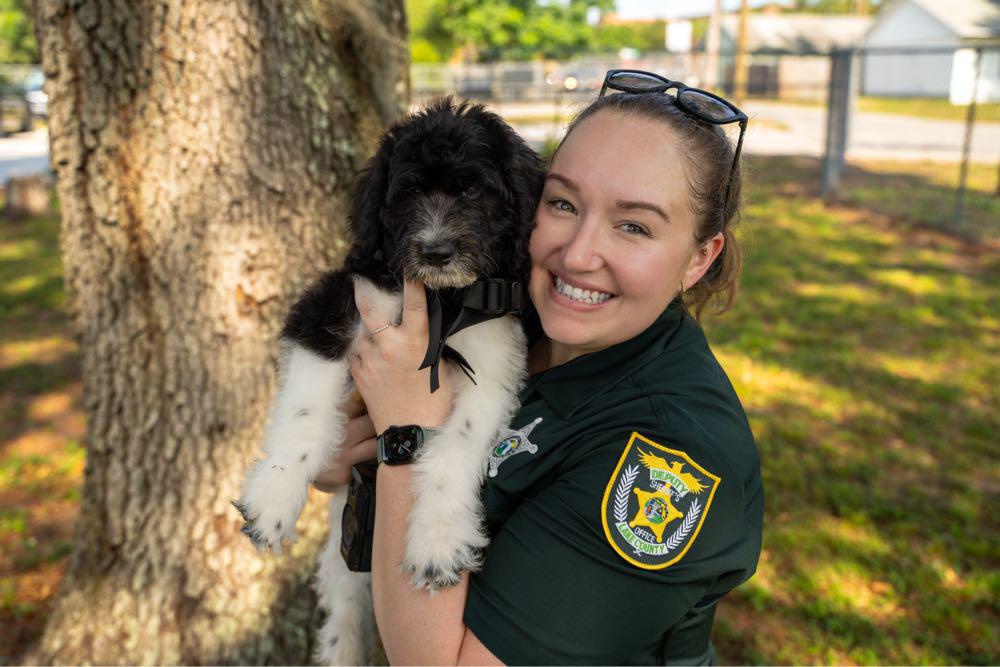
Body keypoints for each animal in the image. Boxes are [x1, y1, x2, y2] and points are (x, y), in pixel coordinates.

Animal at [233, 100, 544, 667]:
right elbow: (306, 412)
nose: (437, 251)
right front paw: (274, 495)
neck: (443, 299)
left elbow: (456, 448)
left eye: (472, 191)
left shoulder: (495, 366)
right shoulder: (334, 305)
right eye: (410, 194)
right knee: (344, 609)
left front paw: (438, 543)